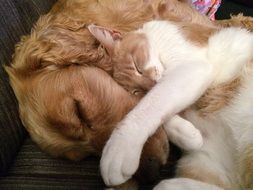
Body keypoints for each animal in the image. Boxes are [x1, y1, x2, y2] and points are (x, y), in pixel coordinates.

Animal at [88, 20, 253, 189]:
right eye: (136, 91)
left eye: (137, 67)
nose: (151, 85)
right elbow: (156, 107)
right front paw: (187, 134)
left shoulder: (193, 68)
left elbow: (153, 103)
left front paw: (120, 147)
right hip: (205, 164)